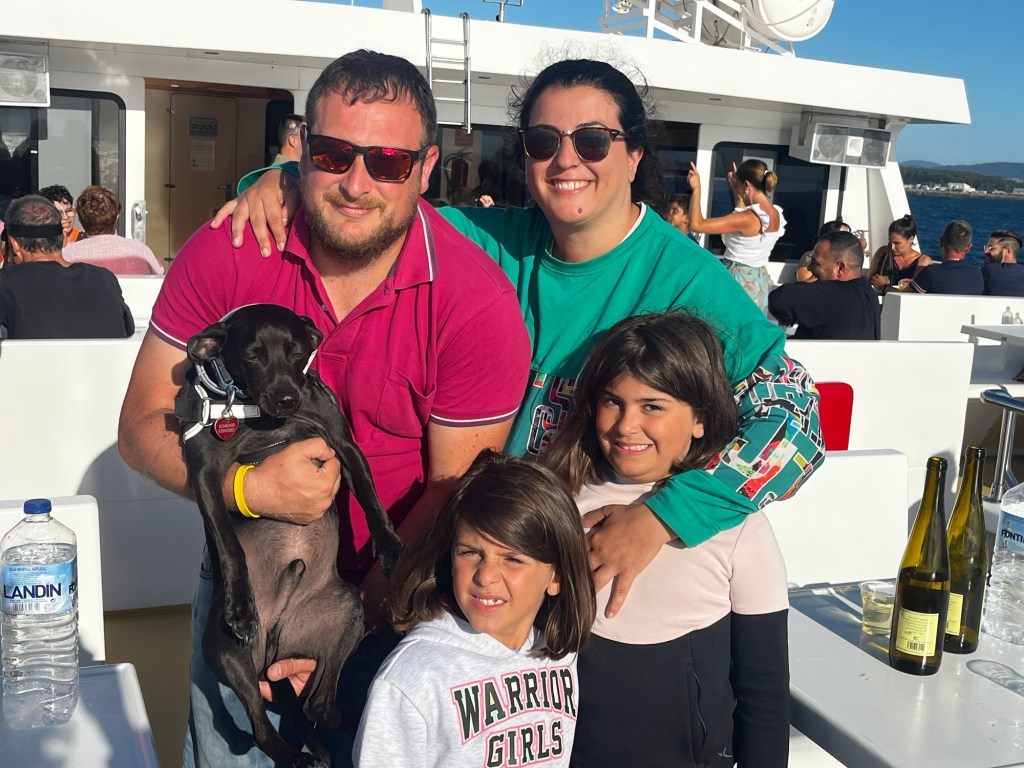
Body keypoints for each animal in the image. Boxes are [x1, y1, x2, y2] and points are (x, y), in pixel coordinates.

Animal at [175, 303, 402, 768]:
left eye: (298, 354)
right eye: (253, 356)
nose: (286, 398)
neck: (260, 417)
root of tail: (274, 643)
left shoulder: (343, 444)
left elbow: (370, 496)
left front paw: (387, 544)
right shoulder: (205, 475)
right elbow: (229, 545)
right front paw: (241, 606)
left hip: (348, 611)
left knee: (315, 706)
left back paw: (345, 720)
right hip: (230, 655)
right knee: (262, 730)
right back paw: (297, 755)